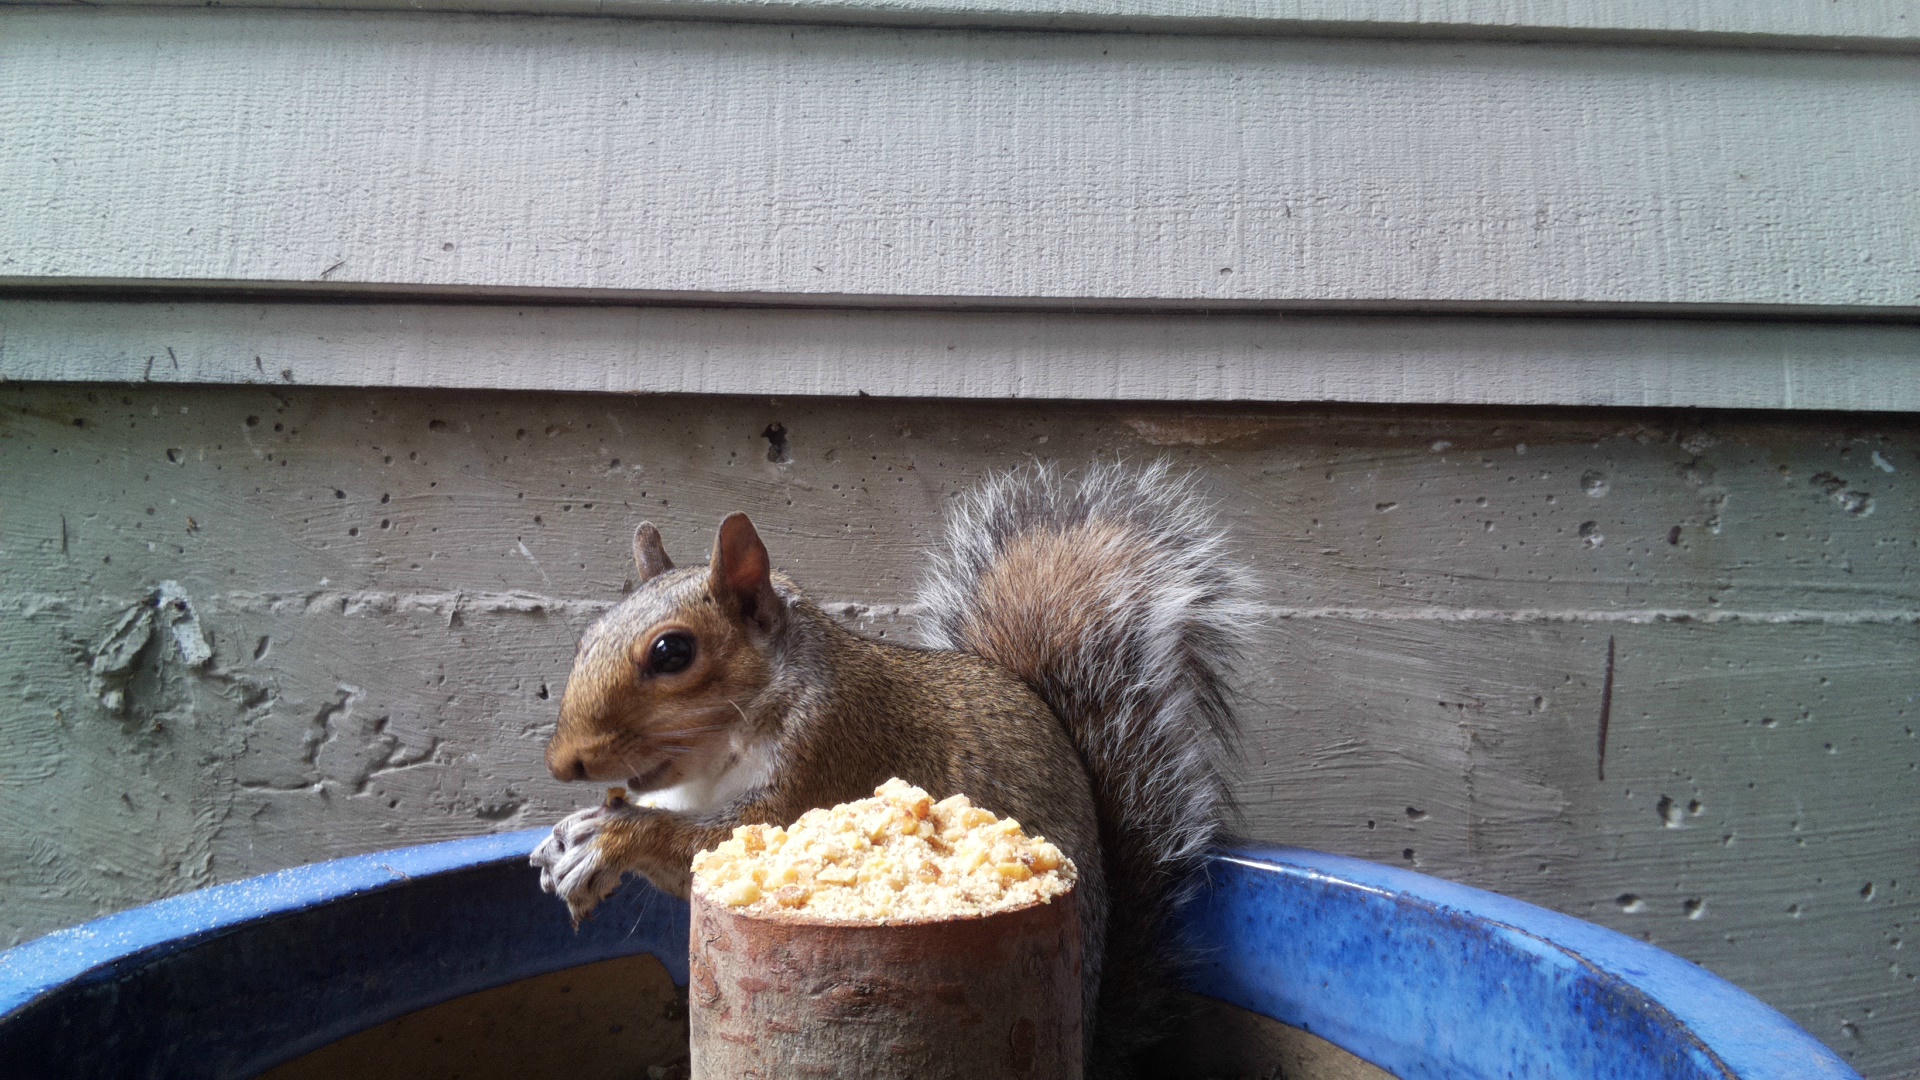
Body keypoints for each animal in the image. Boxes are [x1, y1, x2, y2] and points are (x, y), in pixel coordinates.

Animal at [531, 460, 1255, 1077]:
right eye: (586, 635)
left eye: (672, 652)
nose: (564, 763)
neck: (717, 756)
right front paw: (568, 838)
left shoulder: (822, 761)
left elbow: (707, 845)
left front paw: (607, 838)